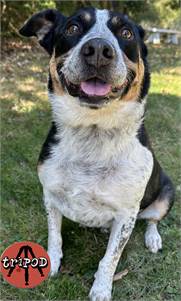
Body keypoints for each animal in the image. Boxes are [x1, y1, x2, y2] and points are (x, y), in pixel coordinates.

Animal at [19, 7, 174, 300]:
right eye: (72, 28)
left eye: (126, 33)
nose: (99, 50)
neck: (93, 132)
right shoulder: (50, 195)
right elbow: (54, 237)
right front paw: (52, 264)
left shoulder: (126, 214)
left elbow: (110, 259)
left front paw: (101, 289)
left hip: (167, 192)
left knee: (152, 220)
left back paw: (153, 238)